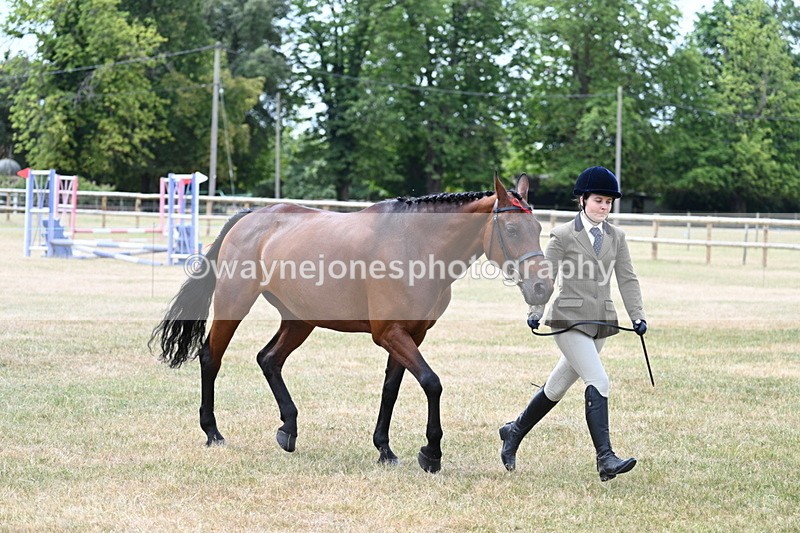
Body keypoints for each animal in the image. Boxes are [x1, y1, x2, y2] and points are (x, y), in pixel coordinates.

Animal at [150, 173, 553, 473]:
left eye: (538, 228)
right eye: (512, 230)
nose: (542, 286)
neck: (418, 245)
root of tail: (250, 217)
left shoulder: (411, 335)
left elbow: (391, 390)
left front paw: (385, 449)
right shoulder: (390, 334)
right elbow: (431, 383)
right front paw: (431, 453)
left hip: (300, 319)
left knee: (269, 359)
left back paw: (288, 428)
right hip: (235, 304)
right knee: (211, 357)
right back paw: (213, 432)